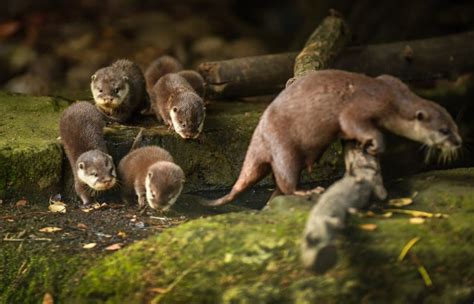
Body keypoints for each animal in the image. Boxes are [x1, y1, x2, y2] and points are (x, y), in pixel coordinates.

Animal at [202, 70, 462, 207]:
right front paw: (376, 144)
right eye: (444, 131)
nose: (458, 142)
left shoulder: (390, 80)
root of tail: (258, 134)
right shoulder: (363, 105)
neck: (392, 97)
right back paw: (306, 191)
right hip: (282, 145)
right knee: (286, 179)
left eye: (453, 125)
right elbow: (352, 123)